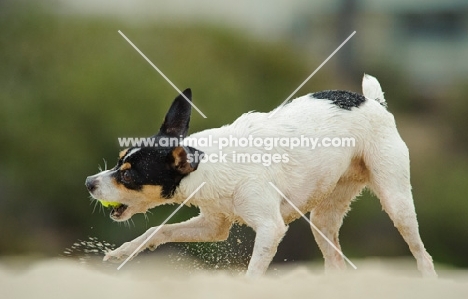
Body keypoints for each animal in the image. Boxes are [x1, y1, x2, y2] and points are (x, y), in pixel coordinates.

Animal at [86, 75, 436, 278]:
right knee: (335, 261)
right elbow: (156, 231)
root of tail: (375, 104)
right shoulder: (213, 226)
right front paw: (122, 252)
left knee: (422, 254)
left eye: (129, 176)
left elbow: (253, 273)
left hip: (396, 202)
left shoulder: (271, 229)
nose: (89, 183)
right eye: (119, 162)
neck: (207, 163)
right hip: (323, 219)